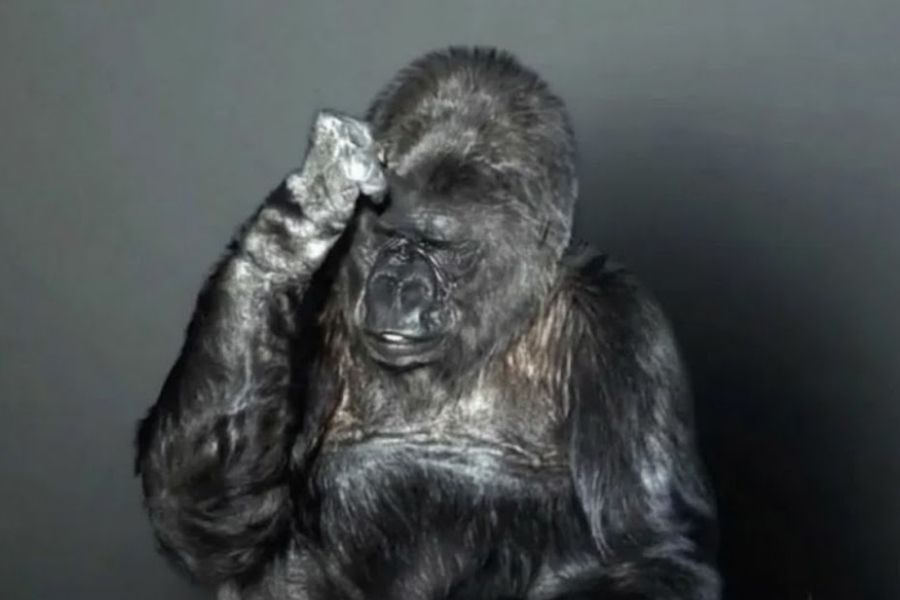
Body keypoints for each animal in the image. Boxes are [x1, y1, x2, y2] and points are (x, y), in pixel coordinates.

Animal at [135, 46, 720, 599]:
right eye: (388, 234)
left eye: (442, 247)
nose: (398, 285)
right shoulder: (321, 299)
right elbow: (219, 524)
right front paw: (311, 207)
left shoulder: (624, 326)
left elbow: (649, 552)